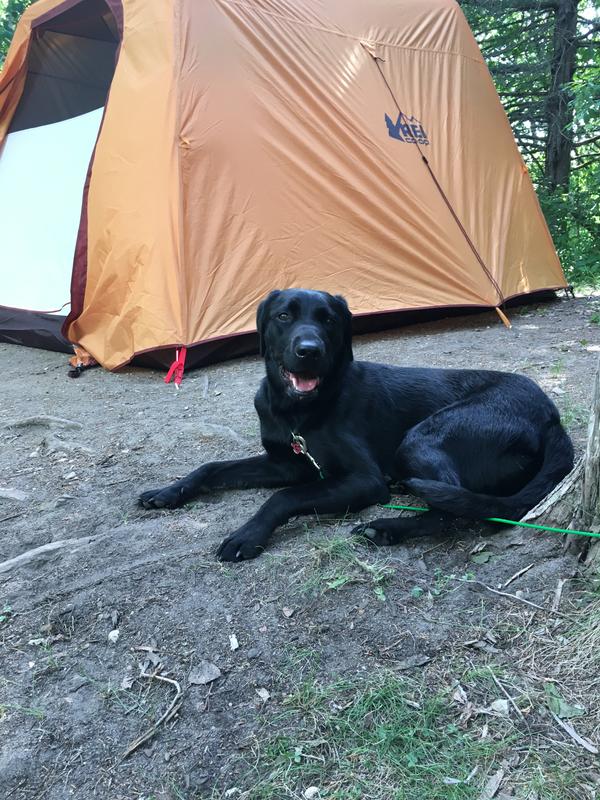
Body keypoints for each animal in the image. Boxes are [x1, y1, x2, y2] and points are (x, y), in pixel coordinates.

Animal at [138, 290, 576, 564]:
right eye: (284, 316)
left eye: (329, 320)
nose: (309, 351)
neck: (297, 411)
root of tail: (551, 416)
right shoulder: (284, 462)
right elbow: (212, 468)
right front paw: (168, 491)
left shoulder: (364, 480)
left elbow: (284, 498)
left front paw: (247, 535)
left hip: (421, 437)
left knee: (450, 511)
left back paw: (386, 528)